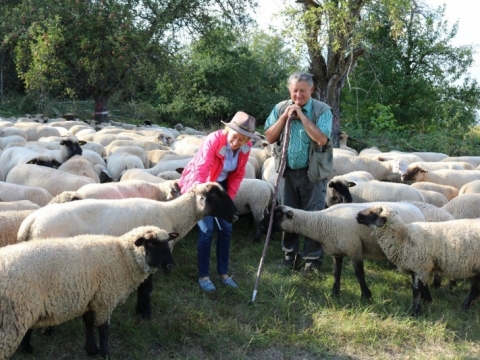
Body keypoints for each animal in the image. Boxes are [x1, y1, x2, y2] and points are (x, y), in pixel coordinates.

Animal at [0, 226, 176, 358]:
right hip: (11, 318)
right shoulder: (106, 299)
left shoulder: (91, 297)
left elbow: (89, 323)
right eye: (151, 245)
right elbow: (104, 329)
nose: (171, 266)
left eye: (167, 244)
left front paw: (91, 349)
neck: (122, 256)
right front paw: (105, 354)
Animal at [262, 201, 424, 300]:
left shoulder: (354, 249)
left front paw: (366, 295)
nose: (262, 224)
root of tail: (417, 208)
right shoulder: (336, 253)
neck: (322, 222)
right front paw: (335, 292)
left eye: (277, 214)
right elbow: (336, 273)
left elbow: (359, 274)